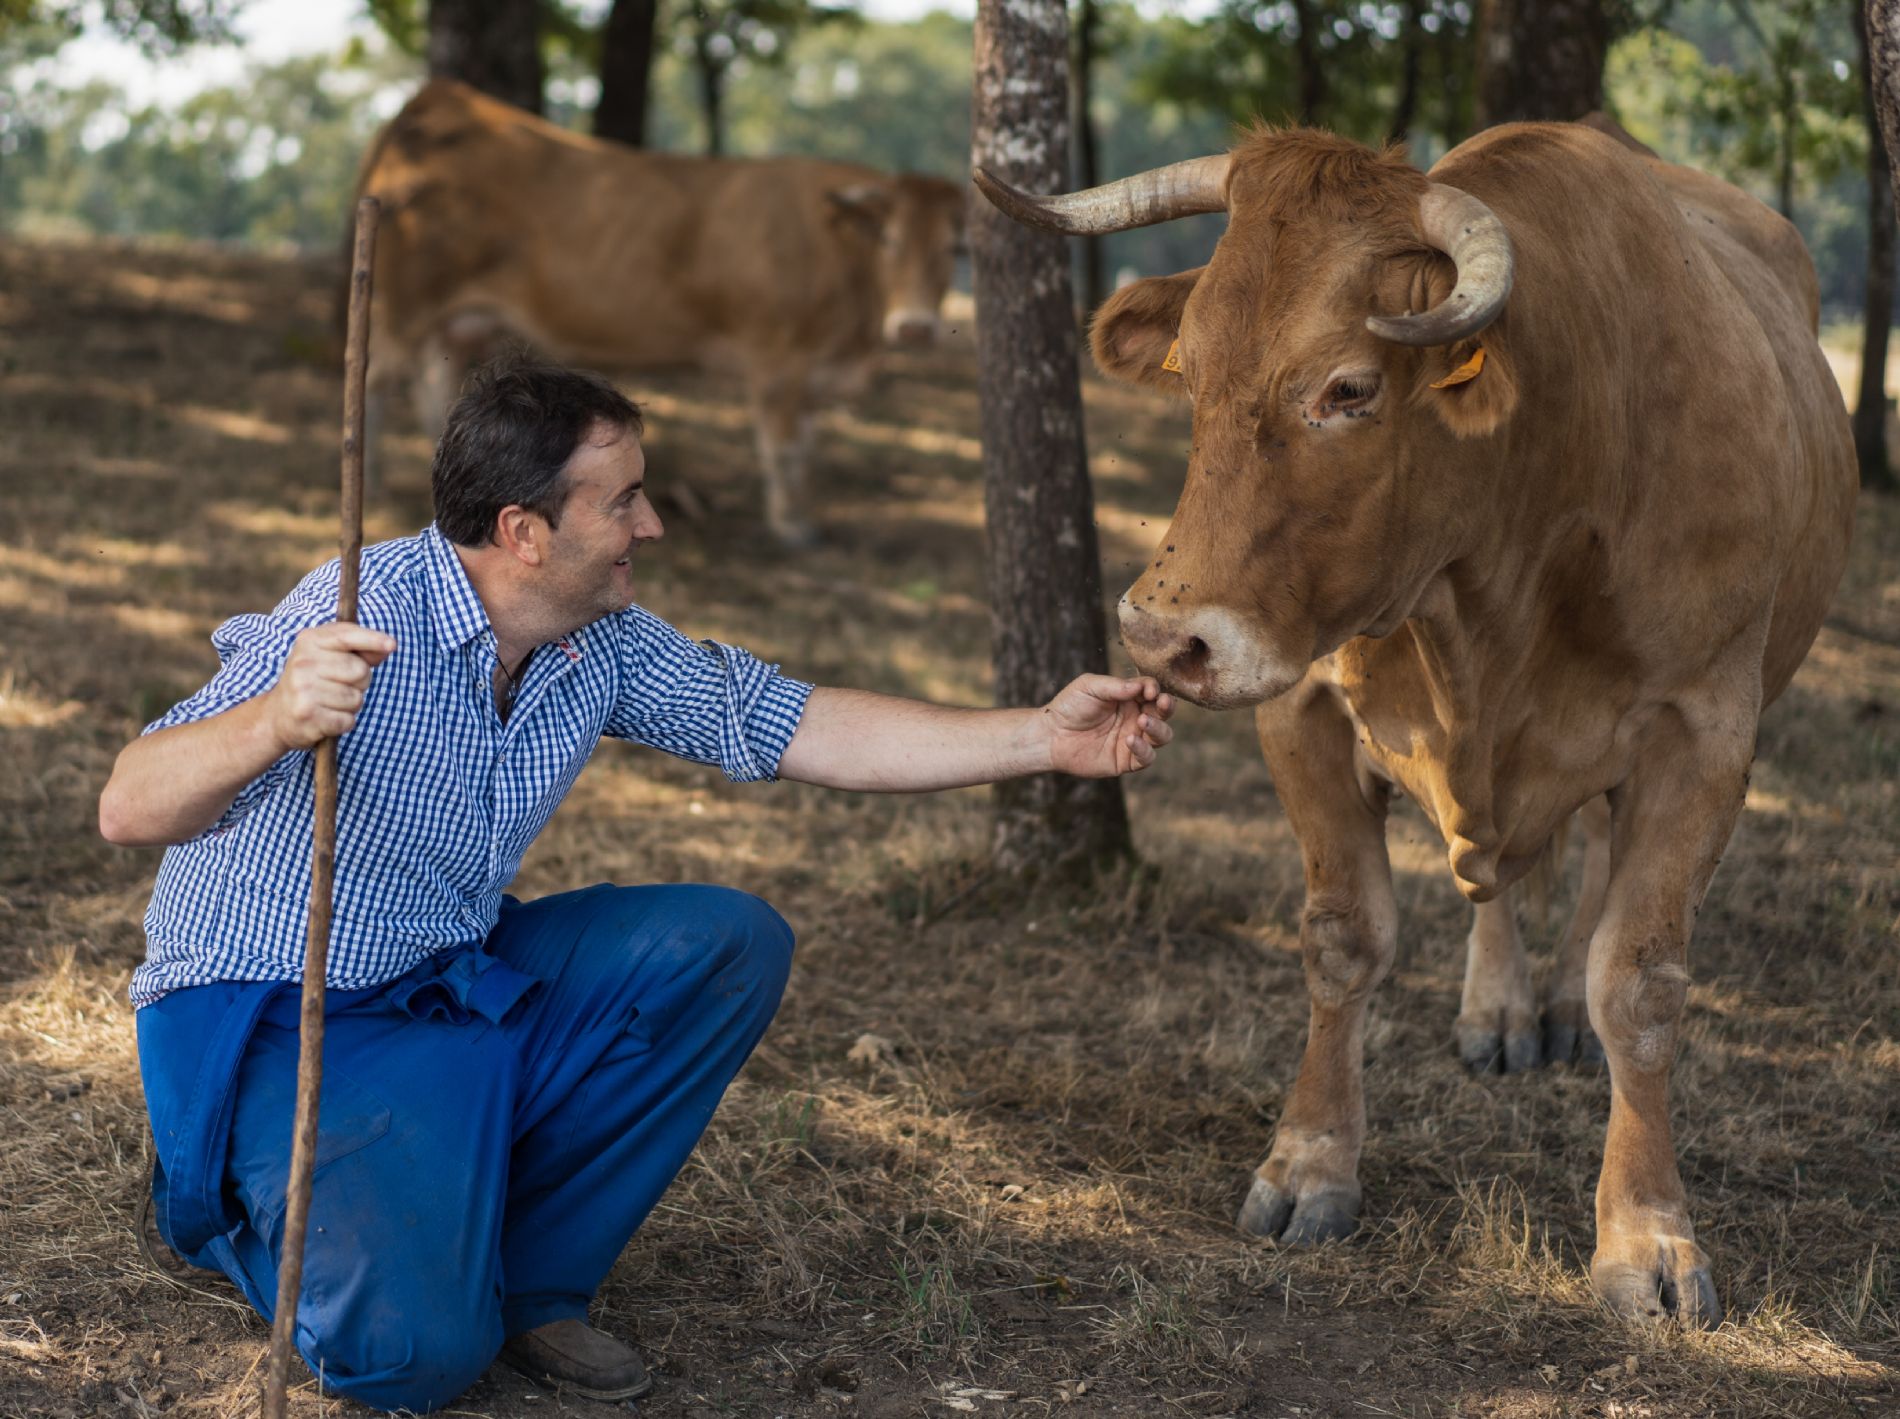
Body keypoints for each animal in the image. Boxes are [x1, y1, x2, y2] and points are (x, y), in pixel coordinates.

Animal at [353, 79, 965, 543]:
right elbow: (784, 449)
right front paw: (790, 527)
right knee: (375, 382)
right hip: (402, 306)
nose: (915, 327)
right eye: (888, 239)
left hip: (454, 322)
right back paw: (372, 482)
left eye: (956, 249)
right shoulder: (777, 363)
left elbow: (805, 448)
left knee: (436, 386)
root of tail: (438, 101)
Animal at [980, 124, 1854, 1329]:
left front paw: (1647, 1234)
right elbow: (1343, 937)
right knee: (1504, 880)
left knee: (1587, 865)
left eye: (1347, 388)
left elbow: (1638, 980)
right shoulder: (1301, 701)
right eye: (1188, 372)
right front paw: (1309, 1162)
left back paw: (1555, 1008)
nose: (1163, 640)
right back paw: (1499, 1008)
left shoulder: (1706, 732)